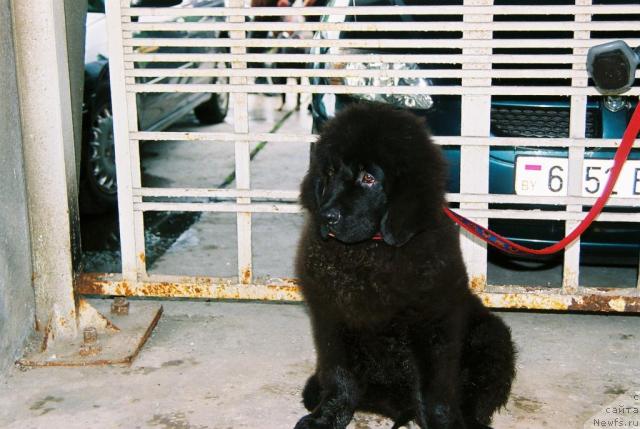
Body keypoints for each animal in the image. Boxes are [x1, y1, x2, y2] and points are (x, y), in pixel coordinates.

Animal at [298, 103, 516, 428]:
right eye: (331, 172)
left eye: (368, 178)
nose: (327, 217)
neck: (370, 252)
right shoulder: (332, 319)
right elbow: (340, 378)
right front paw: (327, 417)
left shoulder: (433, 325)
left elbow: (436, 393)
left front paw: (442, 424)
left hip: (491, 338)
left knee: (475, 400)